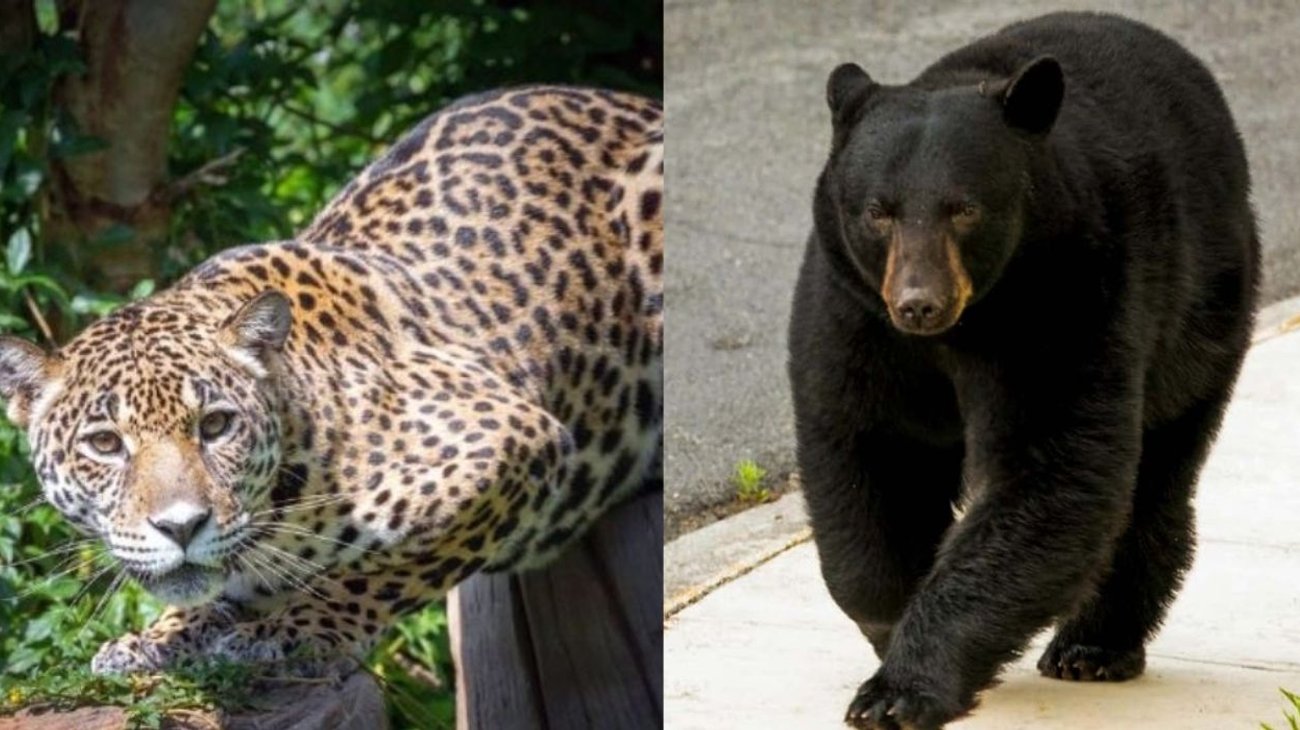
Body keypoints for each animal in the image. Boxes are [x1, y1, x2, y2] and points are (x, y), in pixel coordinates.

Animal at [0, 85, 663, 675]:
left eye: (216, 426)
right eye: (104, 443)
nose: (181, 526)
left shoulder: (511, 441)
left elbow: (384, 571)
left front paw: (300, 629)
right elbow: (208, 594)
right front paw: (158, 638)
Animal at [787, 11, 1259, 730]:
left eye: (964, 208)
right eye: (878, 211)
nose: (919, 303)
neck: (964, 327)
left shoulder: (1066, 296)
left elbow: (1050, 471)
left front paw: (900, 688)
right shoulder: (855, 315)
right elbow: (868, 452)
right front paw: (890, 626)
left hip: (1203, 314)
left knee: (1155, 475)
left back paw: (1095, 645)